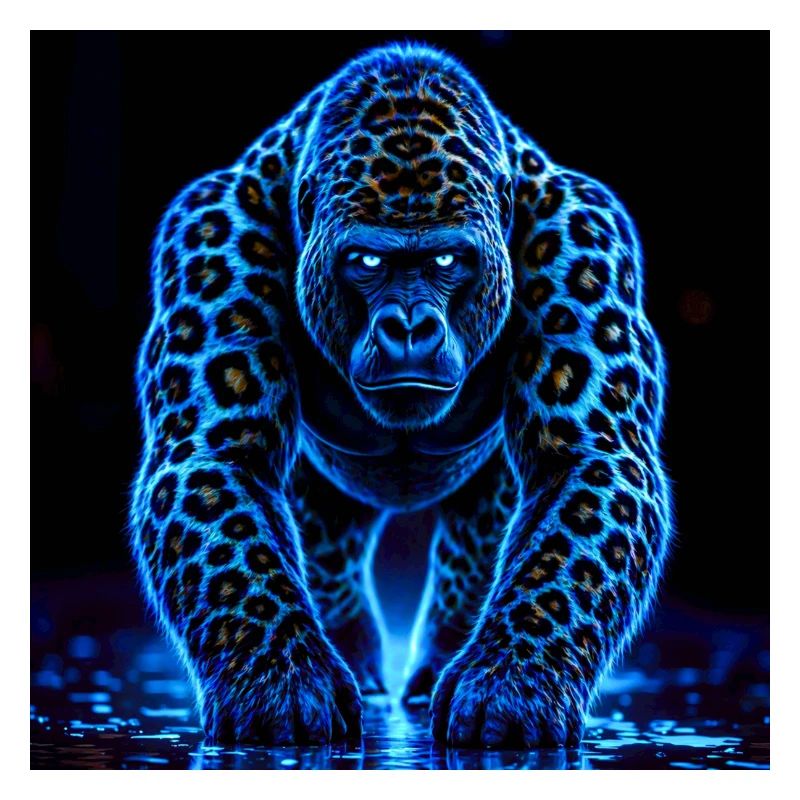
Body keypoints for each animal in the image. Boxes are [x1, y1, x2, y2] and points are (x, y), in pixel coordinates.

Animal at [129, 42, 671, 749]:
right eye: (367, 262)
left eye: (445, 261)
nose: (409, 326)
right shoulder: (211, 236)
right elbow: (226, 498)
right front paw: (281, 682)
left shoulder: (586, 241)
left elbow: (577, 490)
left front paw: (511, 683)